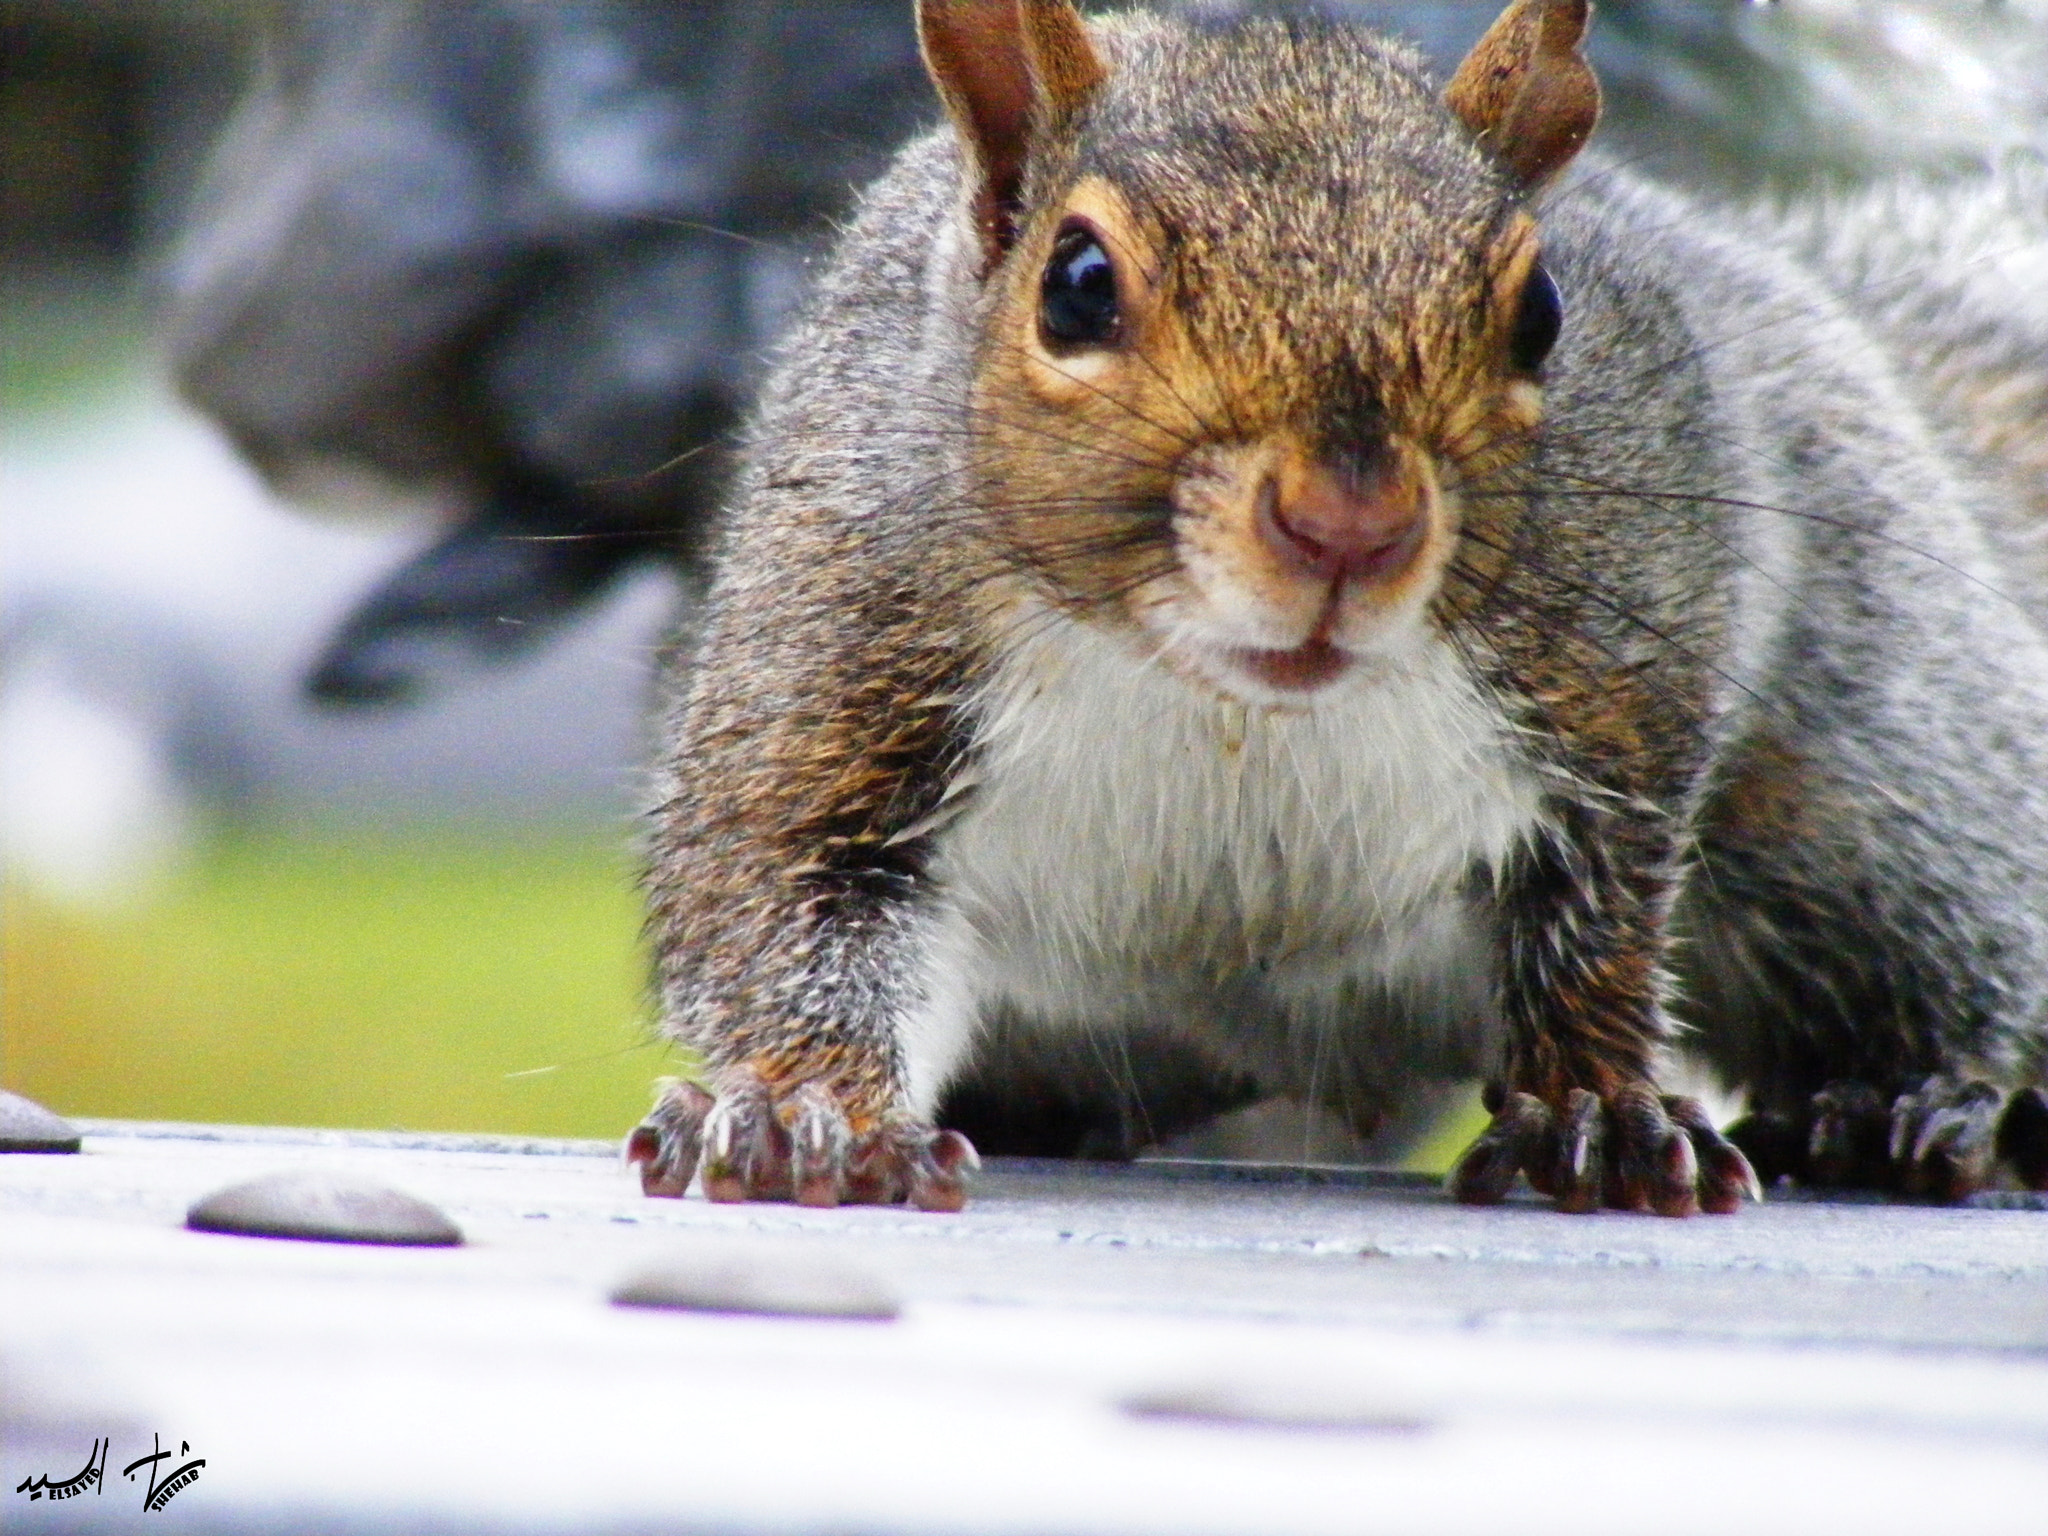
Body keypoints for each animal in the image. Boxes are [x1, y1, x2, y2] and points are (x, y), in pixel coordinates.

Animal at [622, 3, 2048, 1228]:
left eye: (1542, 311)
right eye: (1075, 283)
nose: (1347, 525)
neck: (1223, 704)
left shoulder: (1623, 685)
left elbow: (1595, 925)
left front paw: (1600, 1112)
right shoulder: (840, 660)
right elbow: (791, 888)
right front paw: (807, 1113)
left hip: (1863, 761)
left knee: (1925, 932)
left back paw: (1900, 1106)